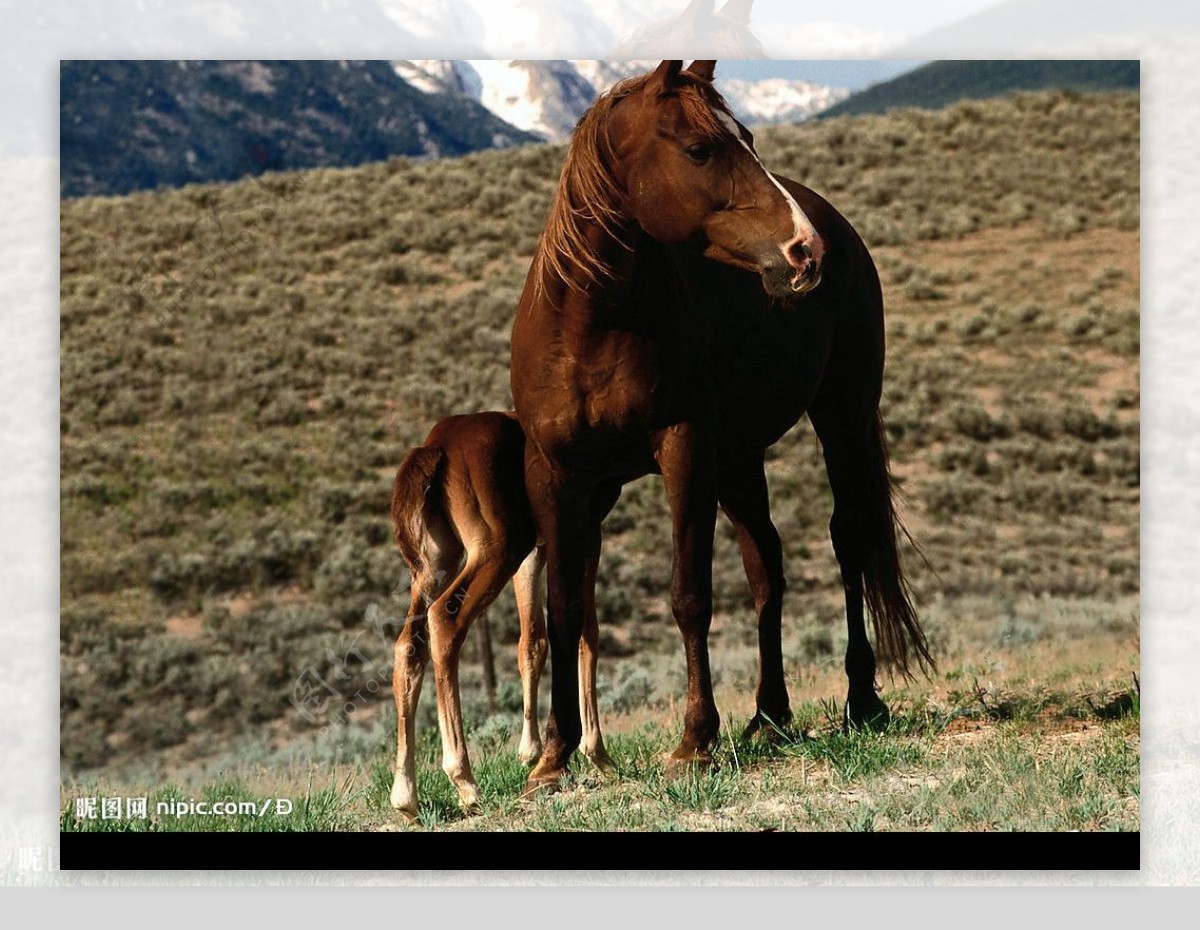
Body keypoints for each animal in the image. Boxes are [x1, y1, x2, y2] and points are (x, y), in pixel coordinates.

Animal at [511, 58, 931, 787]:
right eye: (701, 149)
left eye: (750, 138)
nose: (805, 251)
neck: (591, 325)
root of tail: (839, 224)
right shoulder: (558, 474)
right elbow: (562, 609)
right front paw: (554, 758)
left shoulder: (683, 451)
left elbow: (690, 595)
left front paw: (694, 741)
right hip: (738, 460)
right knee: (767, 566)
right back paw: (769, 716)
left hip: (841, 417)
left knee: (847, 539)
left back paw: (862, 698)